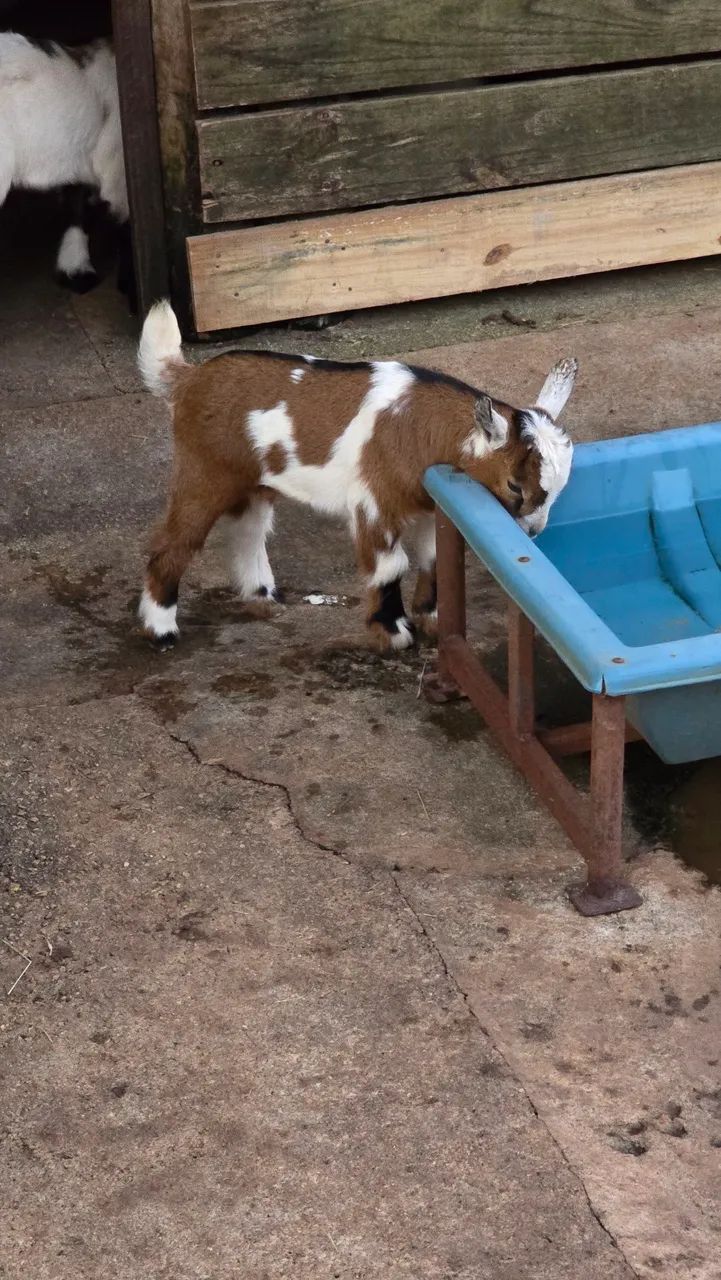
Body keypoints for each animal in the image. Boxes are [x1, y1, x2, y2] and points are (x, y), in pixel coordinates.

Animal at [137, 301, 577, 652]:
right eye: (515, 485)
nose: (532, 533)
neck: (416, 425)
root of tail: (189, 378)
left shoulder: (430, 506)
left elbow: (433, 559)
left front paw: (431, 619)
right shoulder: (374, 502)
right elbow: (391, 566)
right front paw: (394, 633)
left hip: (255, 481)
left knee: (249, 530)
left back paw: (262, 597)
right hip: (203, 471)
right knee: (175, 543)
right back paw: (162, 630)